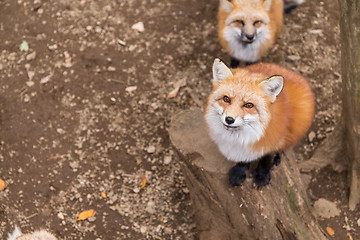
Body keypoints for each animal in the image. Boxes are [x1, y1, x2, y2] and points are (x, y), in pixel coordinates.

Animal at [205, 59, 316, 187]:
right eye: (226, 99)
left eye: (249, 105)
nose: (229, 119)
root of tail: (289, 70)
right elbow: (243, 159)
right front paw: (239, 172)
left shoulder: (272, 141)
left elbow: (266, 160)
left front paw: (261, 175)